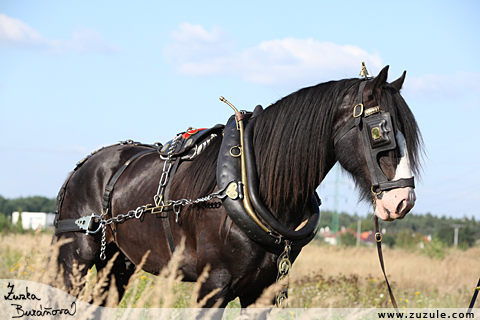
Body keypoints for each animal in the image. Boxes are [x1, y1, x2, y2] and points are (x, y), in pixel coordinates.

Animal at [50, 65, 422, 310]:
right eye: (380, 131)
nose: (403, 200)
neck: (252, 185)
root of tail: (85, 164)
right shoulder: (211, 289)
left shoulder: (262, 292)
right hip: (75, 260)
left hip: (117, 264)